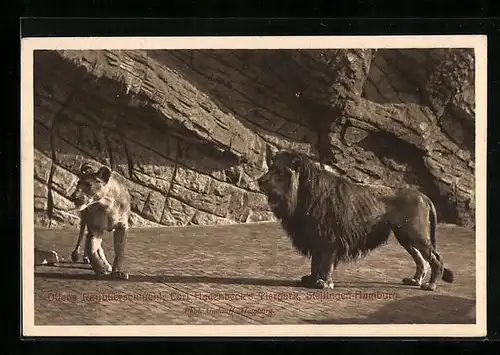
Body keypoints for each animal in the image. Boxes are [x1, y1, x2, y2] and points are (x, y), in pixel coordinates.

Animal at [258, 150, 454, 292]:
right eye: (270, 167)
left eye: (278, 171)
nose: (259, 181)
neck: (303, 193)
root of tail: (425, 197)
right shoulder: (315, 236)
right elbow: (315, 262)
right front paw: (312, 279)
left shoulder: (329, 237)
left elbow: (325, 263)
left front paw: (324, 283)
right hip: (405, 236)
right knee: (422, 260)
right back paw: (414, 280)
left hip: (416, 234)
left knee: (436, 259)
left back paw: (431, 285)